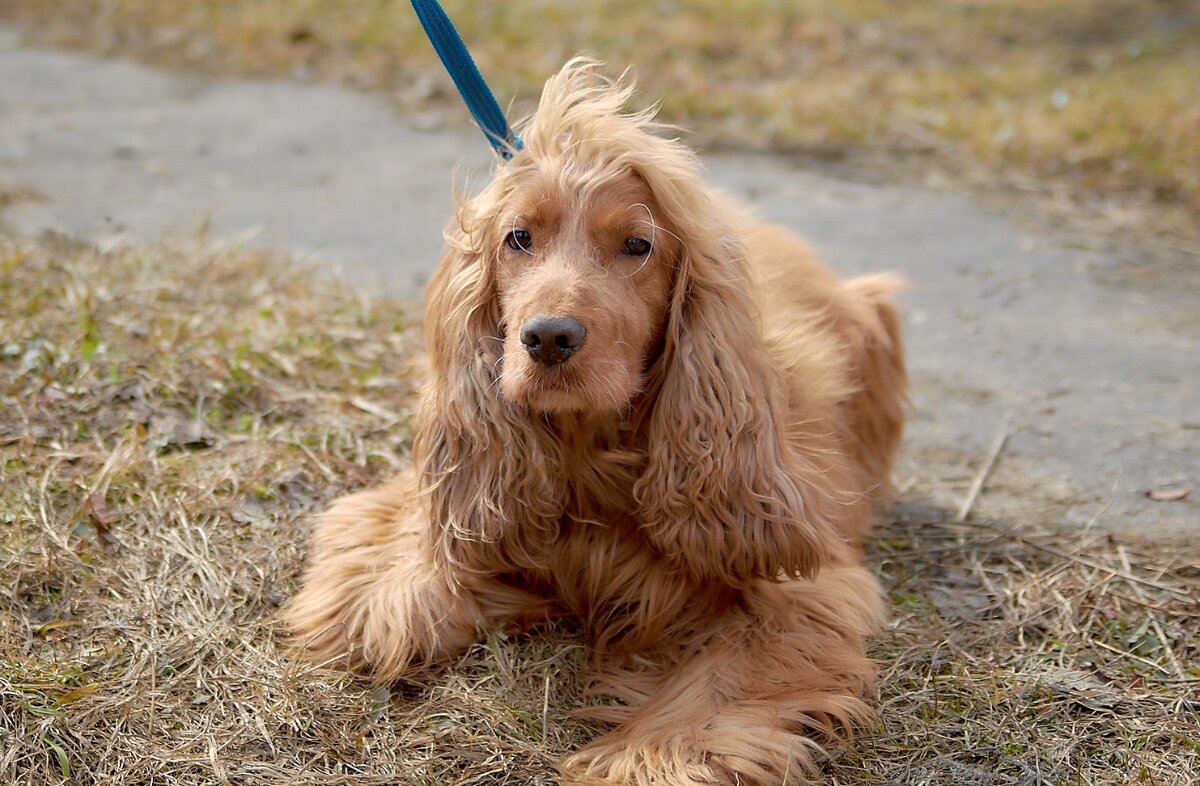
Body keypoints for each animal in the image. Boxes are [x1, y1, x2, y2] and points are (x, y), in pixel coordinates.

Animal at [285, 58, 902, 782]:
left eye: (637, 245)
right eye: (518, 237)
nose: (549, 337)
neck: (589, 451)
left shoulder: (798, 592)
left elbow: (714, 686)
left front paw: (645, 755)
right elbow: (405, 585)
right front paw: (405, 598)